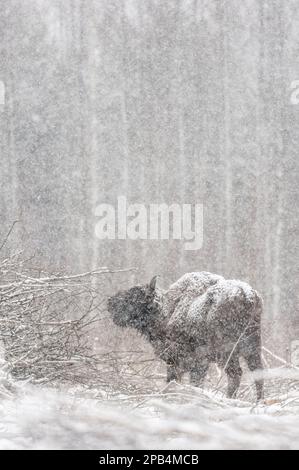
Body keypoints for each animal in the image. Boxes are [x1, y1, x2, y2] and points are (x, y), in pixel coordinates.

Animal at [108, 272, 264, 400]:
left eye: (133, 297)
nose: (110, 302)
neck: (167, 310)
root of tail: (246, 295)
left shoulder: (185, 361)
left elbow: (185, 381)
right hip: (252, 349)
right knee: (257, 373)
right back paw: (258, 401)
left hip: (227, 352)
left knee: (235, 373)